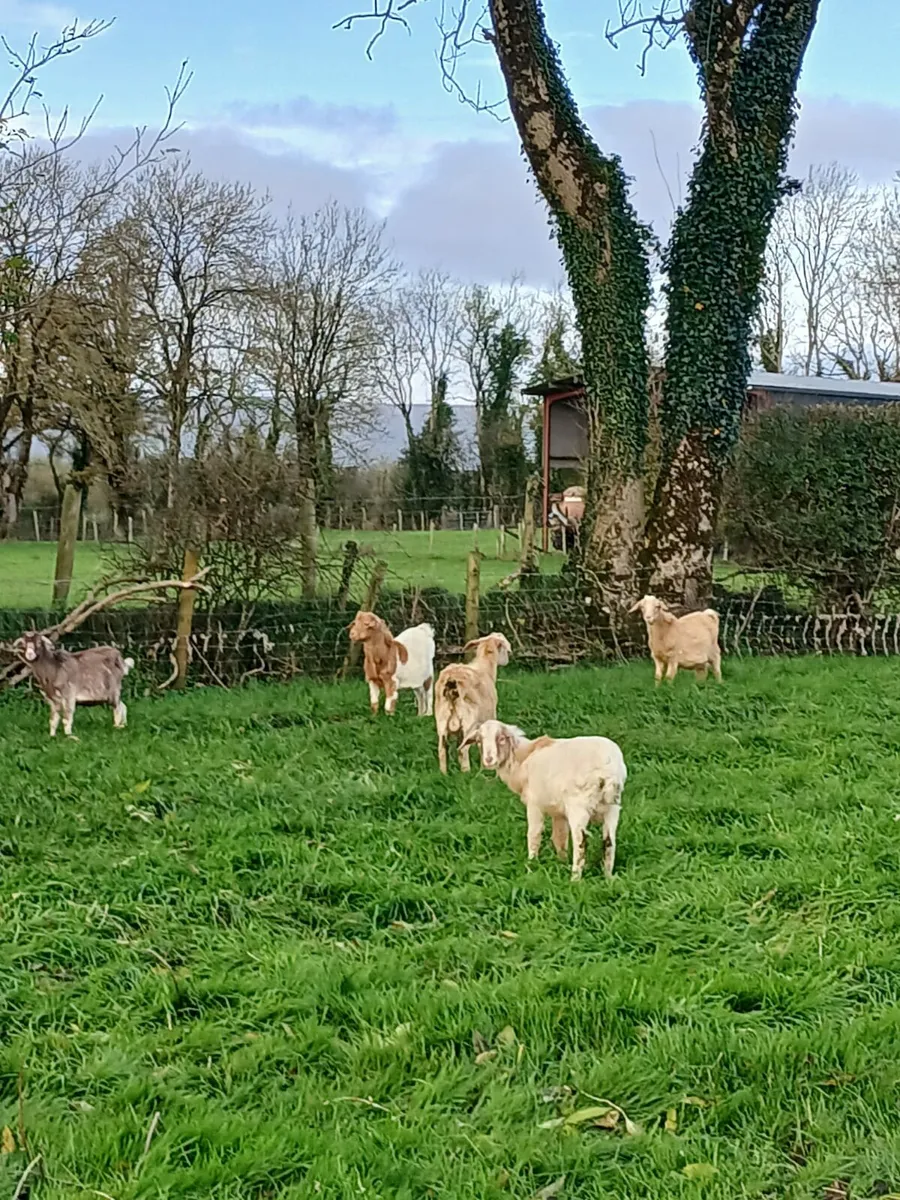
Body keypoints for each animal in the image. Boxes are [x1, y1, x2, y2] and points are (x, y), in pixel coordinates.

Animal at [434, 632, 511, 774]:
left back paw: (444, 774)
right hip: (468, 720)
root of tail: (451, 681)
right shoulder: (489, 716)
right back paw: (466, 772)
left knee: (442, 749)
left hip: (441, 719)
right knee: (463, 749)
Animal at [460, 719, 626, 880]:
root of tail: (608, 769)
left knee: (581, 842)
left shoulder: (534, 804)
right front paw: (561, 862)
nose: (488, 760)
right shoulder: (558, 812)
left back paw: (575, 879)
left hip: (578, 806)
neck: (522, 758)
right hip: (612, 808)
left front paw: (531, 866)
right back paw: (608, 877)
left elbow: (534, 835)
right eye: (479, 740)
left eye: (501, 738)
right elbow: (560, 838)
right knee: (609, 841)